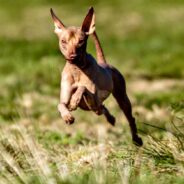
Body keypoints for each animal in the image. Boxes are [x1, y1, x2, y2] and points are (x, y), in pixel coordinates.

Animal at [50, 6, 144, 146]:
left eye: (81, 41)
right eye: (63, 41)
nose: (72, 56)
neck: (77, 70)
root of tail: (104, 63)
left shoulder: (93, 99)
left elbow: (82, 88)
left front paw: (75, 100)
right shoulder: (65, 99)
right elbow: (60, 104)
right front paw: (68, 116)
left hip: (121, 98)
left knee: (129, 117)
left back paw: (136, 139)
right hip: (97, 107)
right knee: (102, 108)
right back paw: (111, 119)